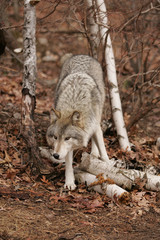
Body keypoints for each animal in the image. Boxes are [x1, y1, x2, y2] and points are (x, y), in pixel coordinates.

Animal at [45, 54, 109, 189]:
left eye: (67, 138)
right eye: (55, 137)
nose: (56, 155)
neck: (74, 103)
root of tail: (82, 55)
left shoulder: (94, 126)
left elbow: (103, 149)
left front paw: (108, 165)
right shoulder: (68, 148)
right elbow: (69, 163)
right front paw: (69, 182)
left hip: (99, 113)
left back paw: (94, 153)